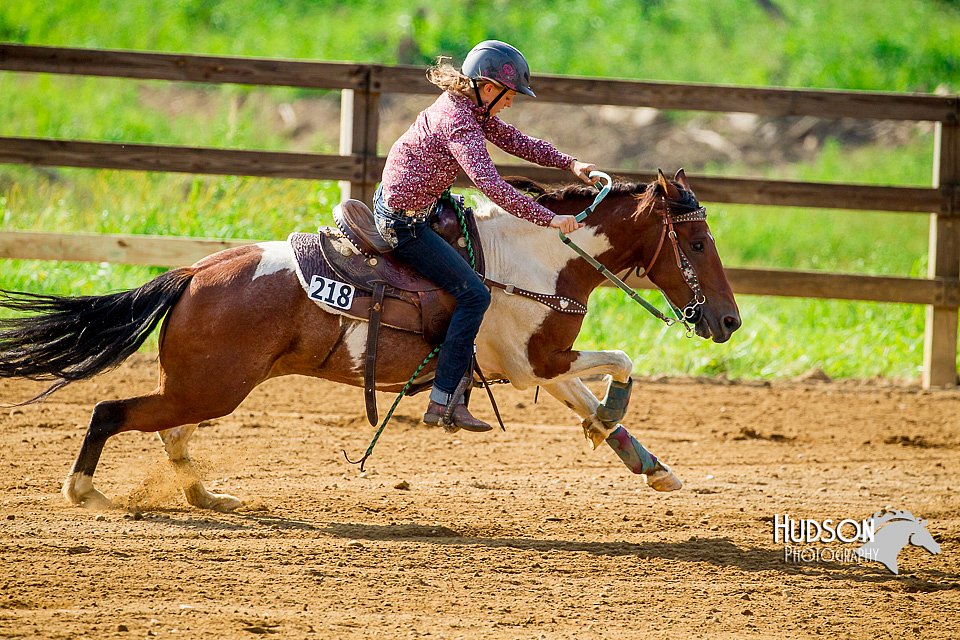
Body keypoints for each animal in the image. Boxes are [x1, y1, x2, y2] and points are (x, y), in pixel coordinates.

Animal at [0, 169, 744, 510]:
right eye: (697, 244)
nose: (730, 322)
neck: (538, 261)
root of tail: (192, 274)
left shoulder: (544, 366)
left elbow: (597, 399)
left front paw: (649, 464)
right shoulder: (532, 362)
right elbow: (622, 362)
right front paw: (616, 423)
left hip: (203, 387)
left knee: (169, 432)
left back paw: (206, 497)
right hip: (210, 386)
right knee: (112, 411)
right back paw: (85, 492)